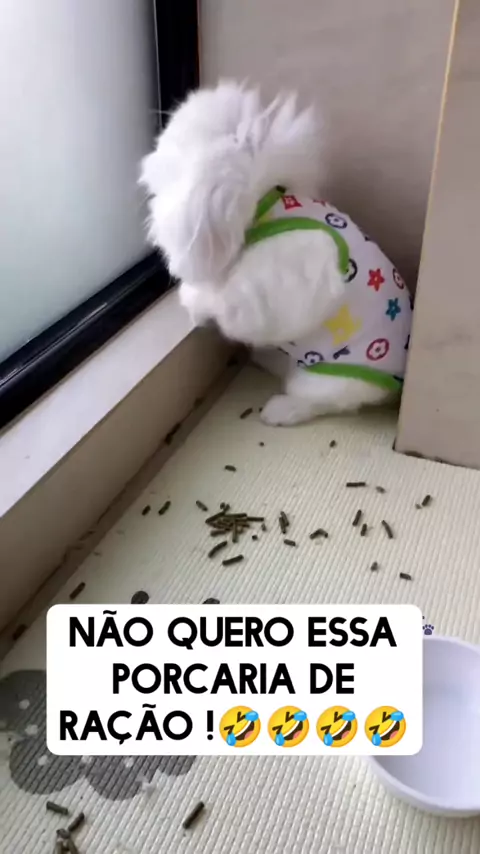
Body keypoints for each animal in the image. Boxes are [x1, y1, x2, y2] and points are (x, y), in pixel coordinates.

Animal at [140, 81, 412, 426]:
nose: (150, 158)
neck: (263, 205)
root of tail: (397, 381)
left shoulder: (266, 291)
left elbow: (225, 303)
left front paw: (192, 302)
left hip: (324, 379)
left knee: (320, 402)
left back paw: (277, 411)